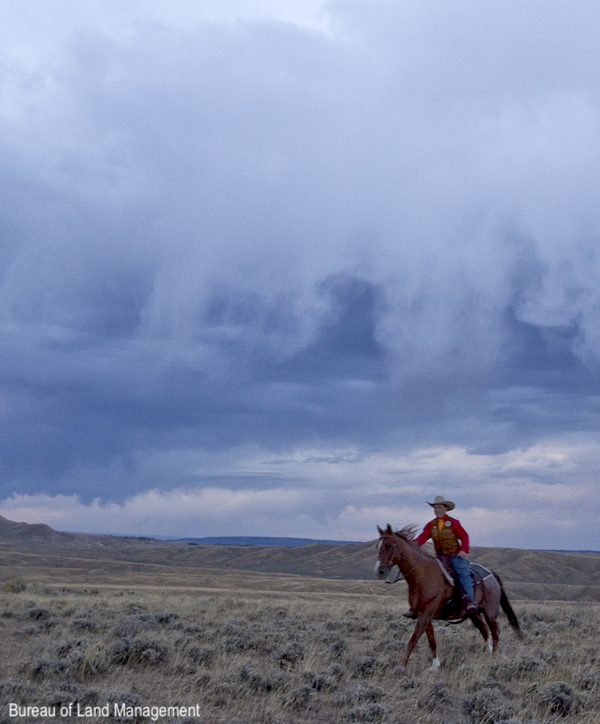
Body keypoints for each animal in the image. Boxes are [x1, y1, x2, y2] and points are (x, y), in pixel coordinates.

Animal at [376, 528, 520, 672]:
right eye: (378, 546)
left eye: (388, 546)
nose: (380, 571)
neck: (423, 574)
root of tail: (491, 574)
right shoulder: (424, 615)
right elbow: (431, 640)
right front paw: (435, 665)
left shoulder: (425, 615)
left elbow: (413, 640)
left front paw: (401, 667)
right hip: (474, 614)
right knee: (484, 630)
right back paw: (488, 653)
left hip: (490, 612)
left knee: (495, 632)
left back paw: (493, 658)